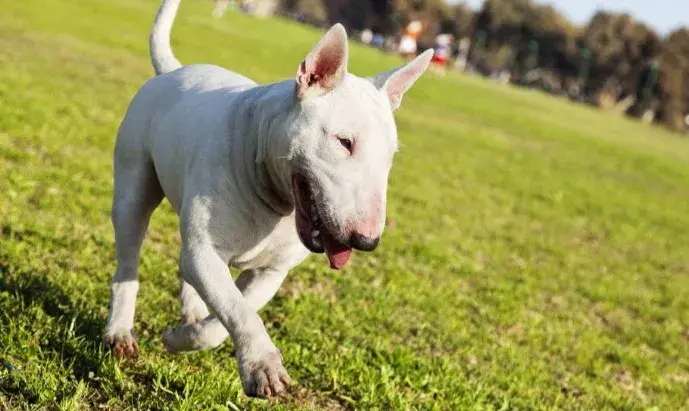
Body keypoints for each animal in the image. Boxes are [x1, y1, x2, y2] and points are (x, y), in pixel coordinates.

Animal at [103, 0, 430, 400]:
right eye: (344, 142)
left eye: (391, 156)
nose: (366, 241)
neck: (273, 196)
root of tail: (174, 70)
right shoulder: (205, 252)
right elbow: (238, 310)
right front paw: (262, 366)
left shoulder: (270, 272)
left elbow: (229, 316)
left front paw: (185, 337)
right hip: (133, 189)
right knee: (128, 260)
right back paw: (120, 331)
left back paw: (191, 312)